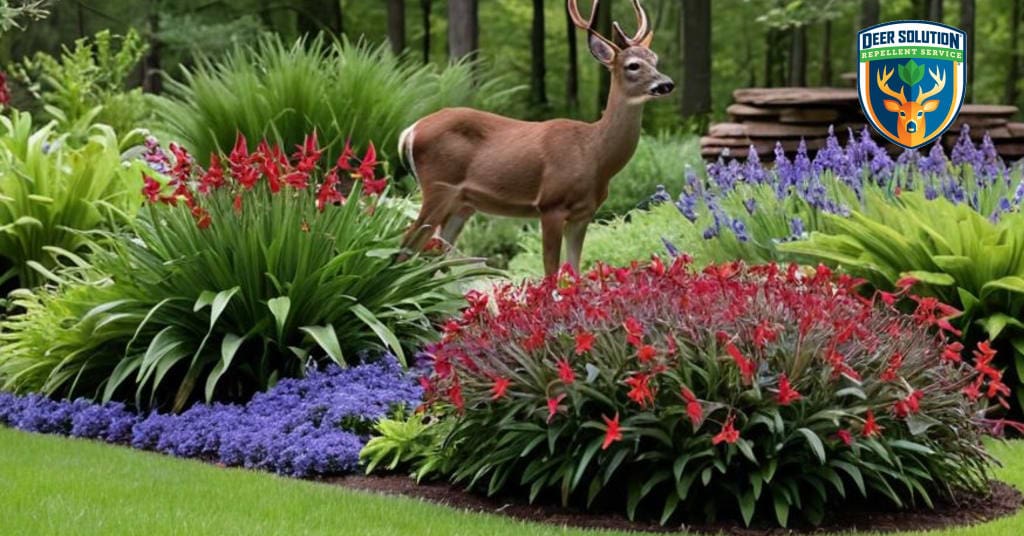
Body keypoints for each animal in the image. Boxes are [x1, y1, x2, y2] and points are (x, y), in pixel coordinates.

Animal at [397, 0, 675, 276]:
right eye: (633, 65)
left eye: (655, 59)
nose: (667, 84)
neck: (593, 153)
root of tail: (410, 131)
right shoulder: (551, 205)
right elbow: (550, 272)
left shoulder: (584, 213)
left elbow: (575, 271)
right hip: (438, 187)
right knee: (406, 247)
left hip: (461, 204)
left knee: (434, 256)